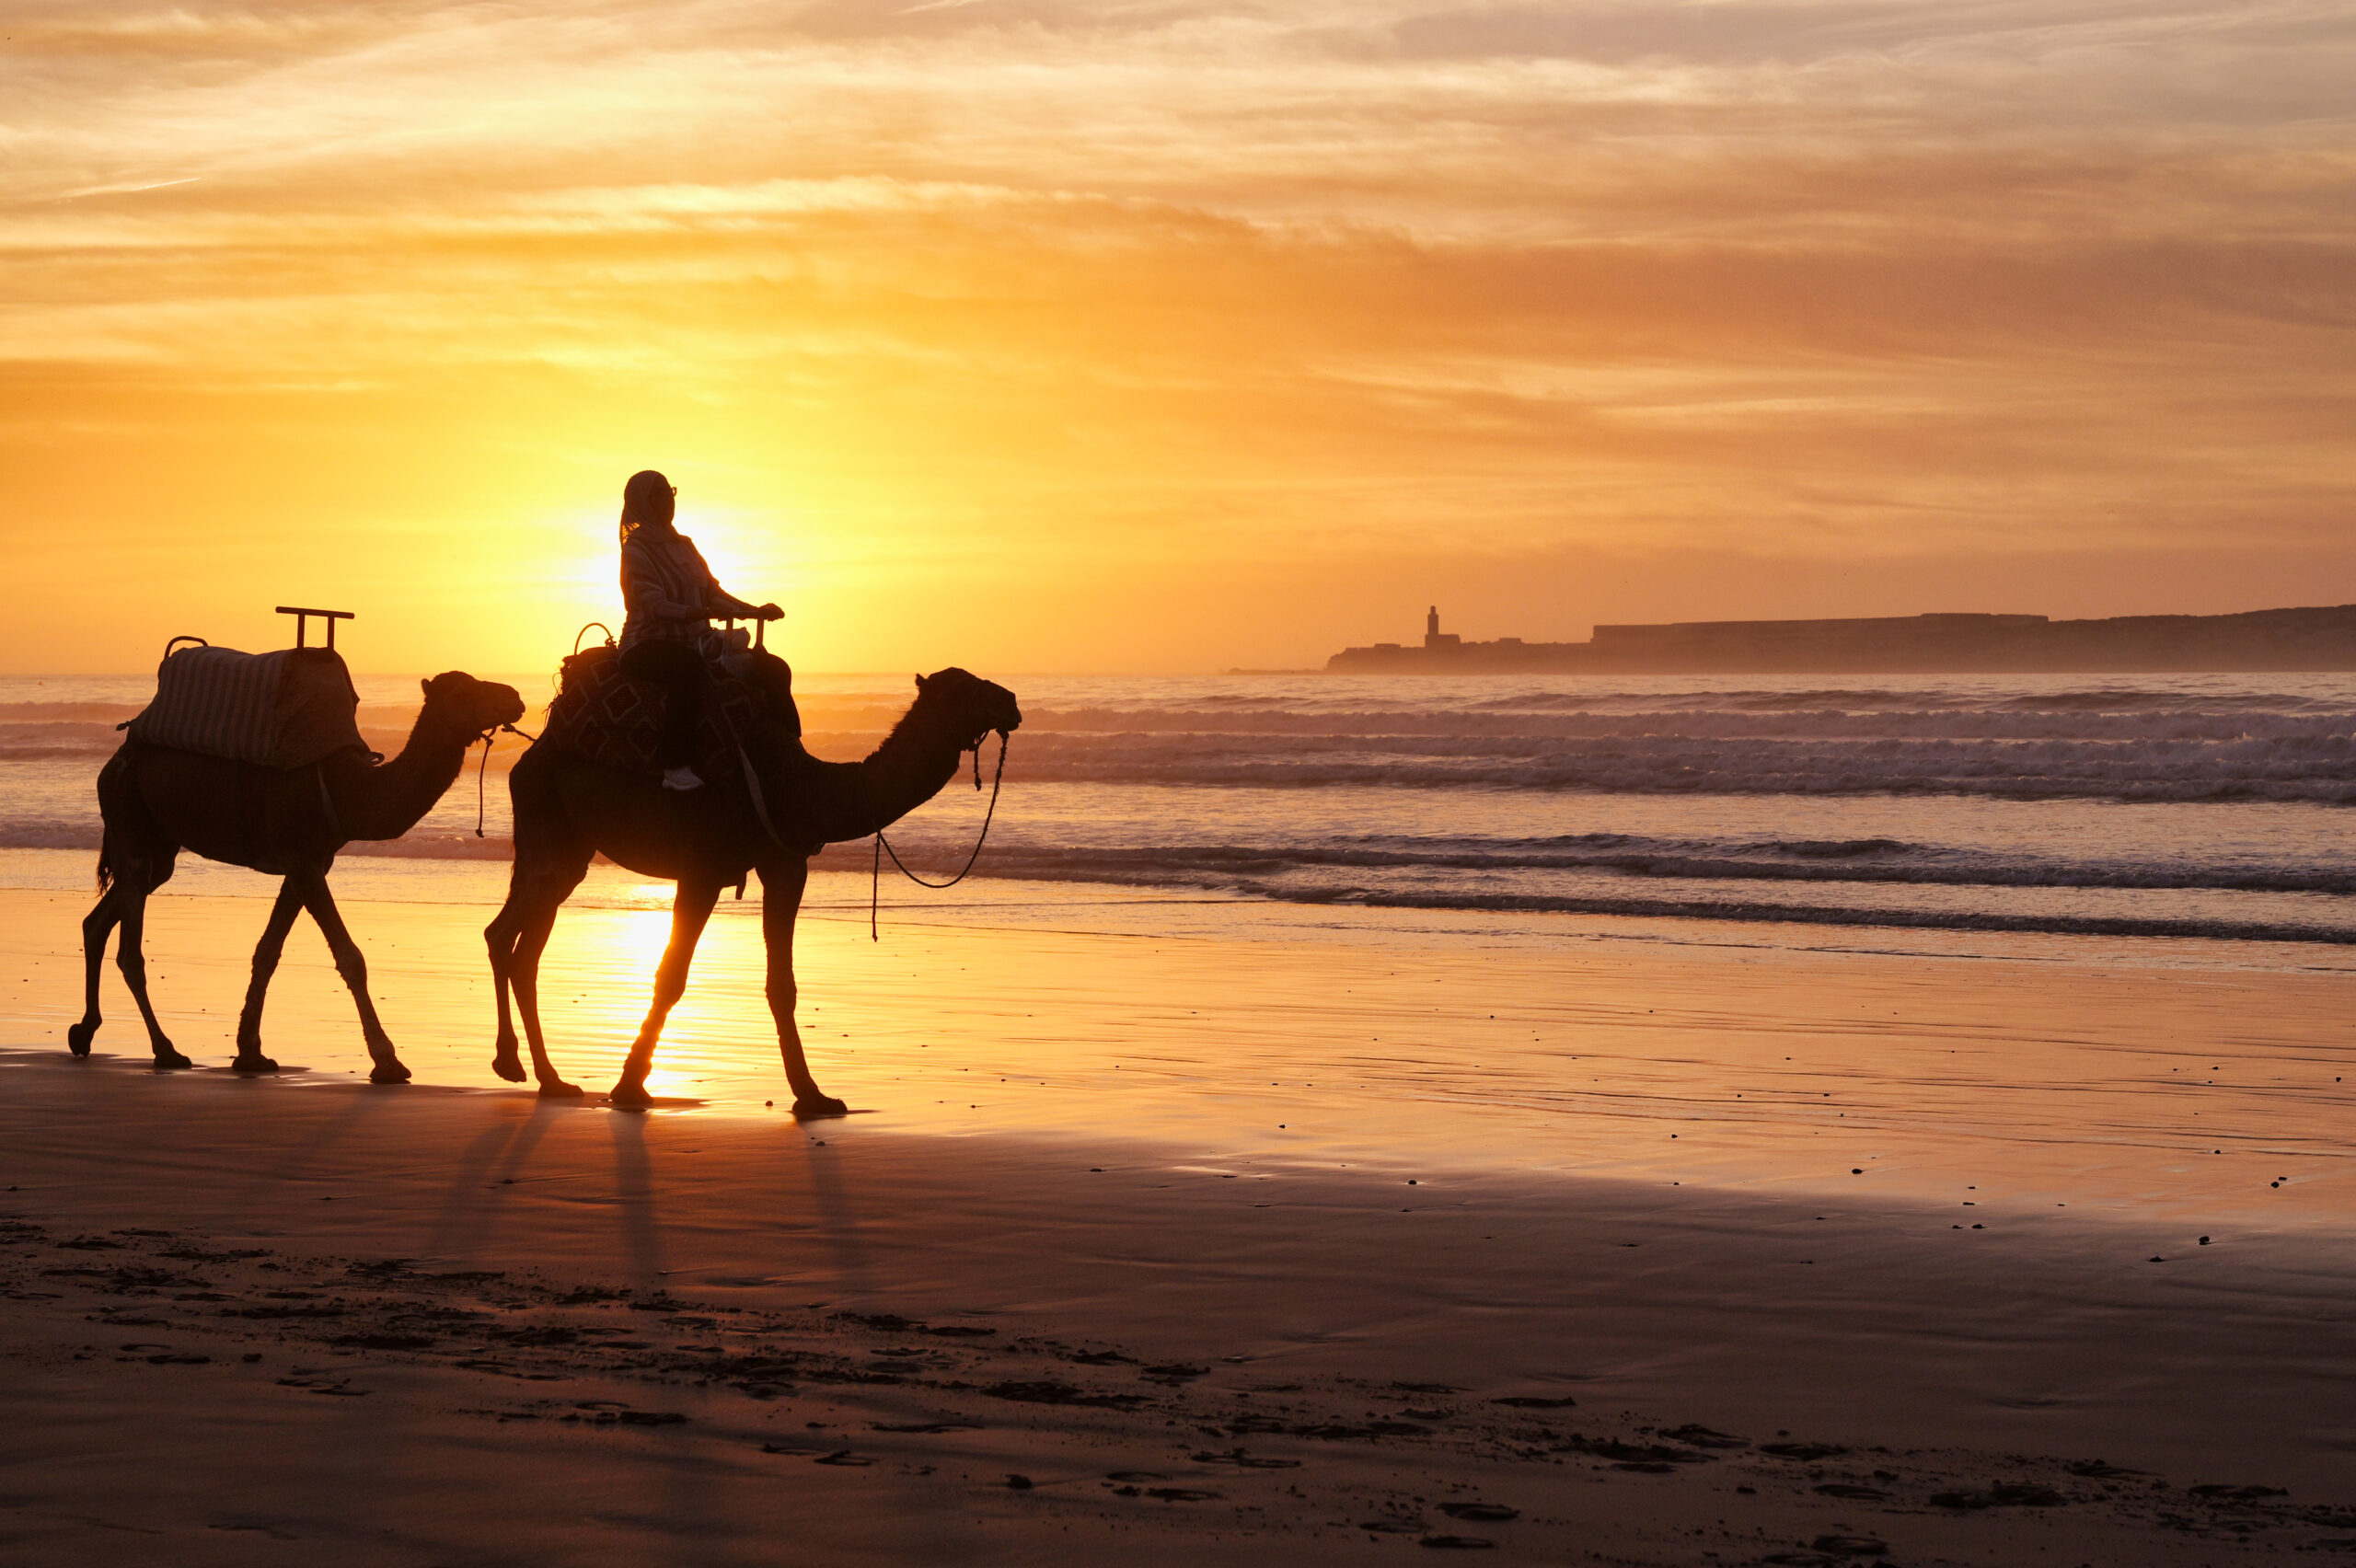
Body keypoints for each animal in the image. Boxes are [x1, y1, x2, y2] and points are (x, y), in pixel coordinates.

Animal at [71, 671, 528, 1081]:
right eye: (464, 692)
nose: (515, 697)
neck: (348, 789)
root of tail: (115, 759)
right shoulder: (303, 862)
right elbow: (350, 958)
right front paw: (387, 1061)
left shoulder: (307, 863)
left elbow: (267, 952)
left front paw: (250, 1052)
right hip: (127, 808)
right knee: (131, 945)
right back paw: (165, 1050)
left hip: (160, 841)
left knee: (103, 916)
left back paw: (84, 1032)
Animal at [484, 661, 1021, 1114]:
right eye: (963, 690)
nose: (1011, 700)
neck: (803, 788)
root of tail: (529, 753)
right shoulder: (702, 869)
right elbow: (671, 977)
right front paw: (630, 1087)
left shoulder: (785, 863)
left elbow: (782, 985)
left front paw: (814, 1096)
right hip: (547, 822)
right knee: (507, 935)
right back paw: (516, 1066)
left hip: (569, 844)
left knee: (521, 947)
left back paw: (550, 1079)